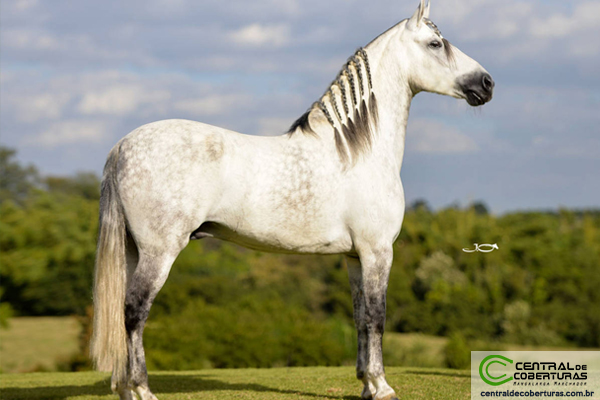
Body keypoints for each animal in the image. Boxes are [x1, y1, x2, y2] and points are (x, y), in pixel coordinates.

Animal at [89, 1, 492, 398]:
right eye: (435, 44)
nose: (487, 83)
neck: (357, 150)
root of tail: (122, 147)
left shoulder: (355, 257)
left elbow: (360, 318)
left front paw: (365, 383)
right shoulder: (377, 252)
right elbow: (378, 317)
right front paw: (382, 386)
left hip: (132, 251)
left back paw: (125, 388)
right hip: (159, 252)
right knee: (134, 311)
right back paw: (141, 389)